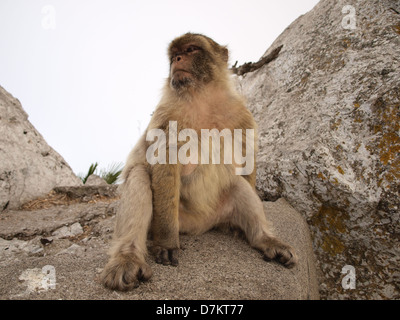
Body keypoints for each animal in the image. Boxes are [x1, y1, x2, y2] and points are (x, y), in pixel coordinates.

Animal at [100, 33, 296, 292]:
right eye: (174, 55)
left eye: (191, 49)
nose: (177, 60)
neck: (201, 97)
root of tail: (198, 226)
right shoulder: (167, 115)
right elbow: (165, 162)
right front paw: (167, 244)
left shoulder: (243, 116)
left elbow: (246, 159)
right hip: (173, 218)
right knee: (140, 176)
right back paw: (128, 259)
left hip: (216, 213)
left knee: (238, 185)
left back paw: (265, 239)